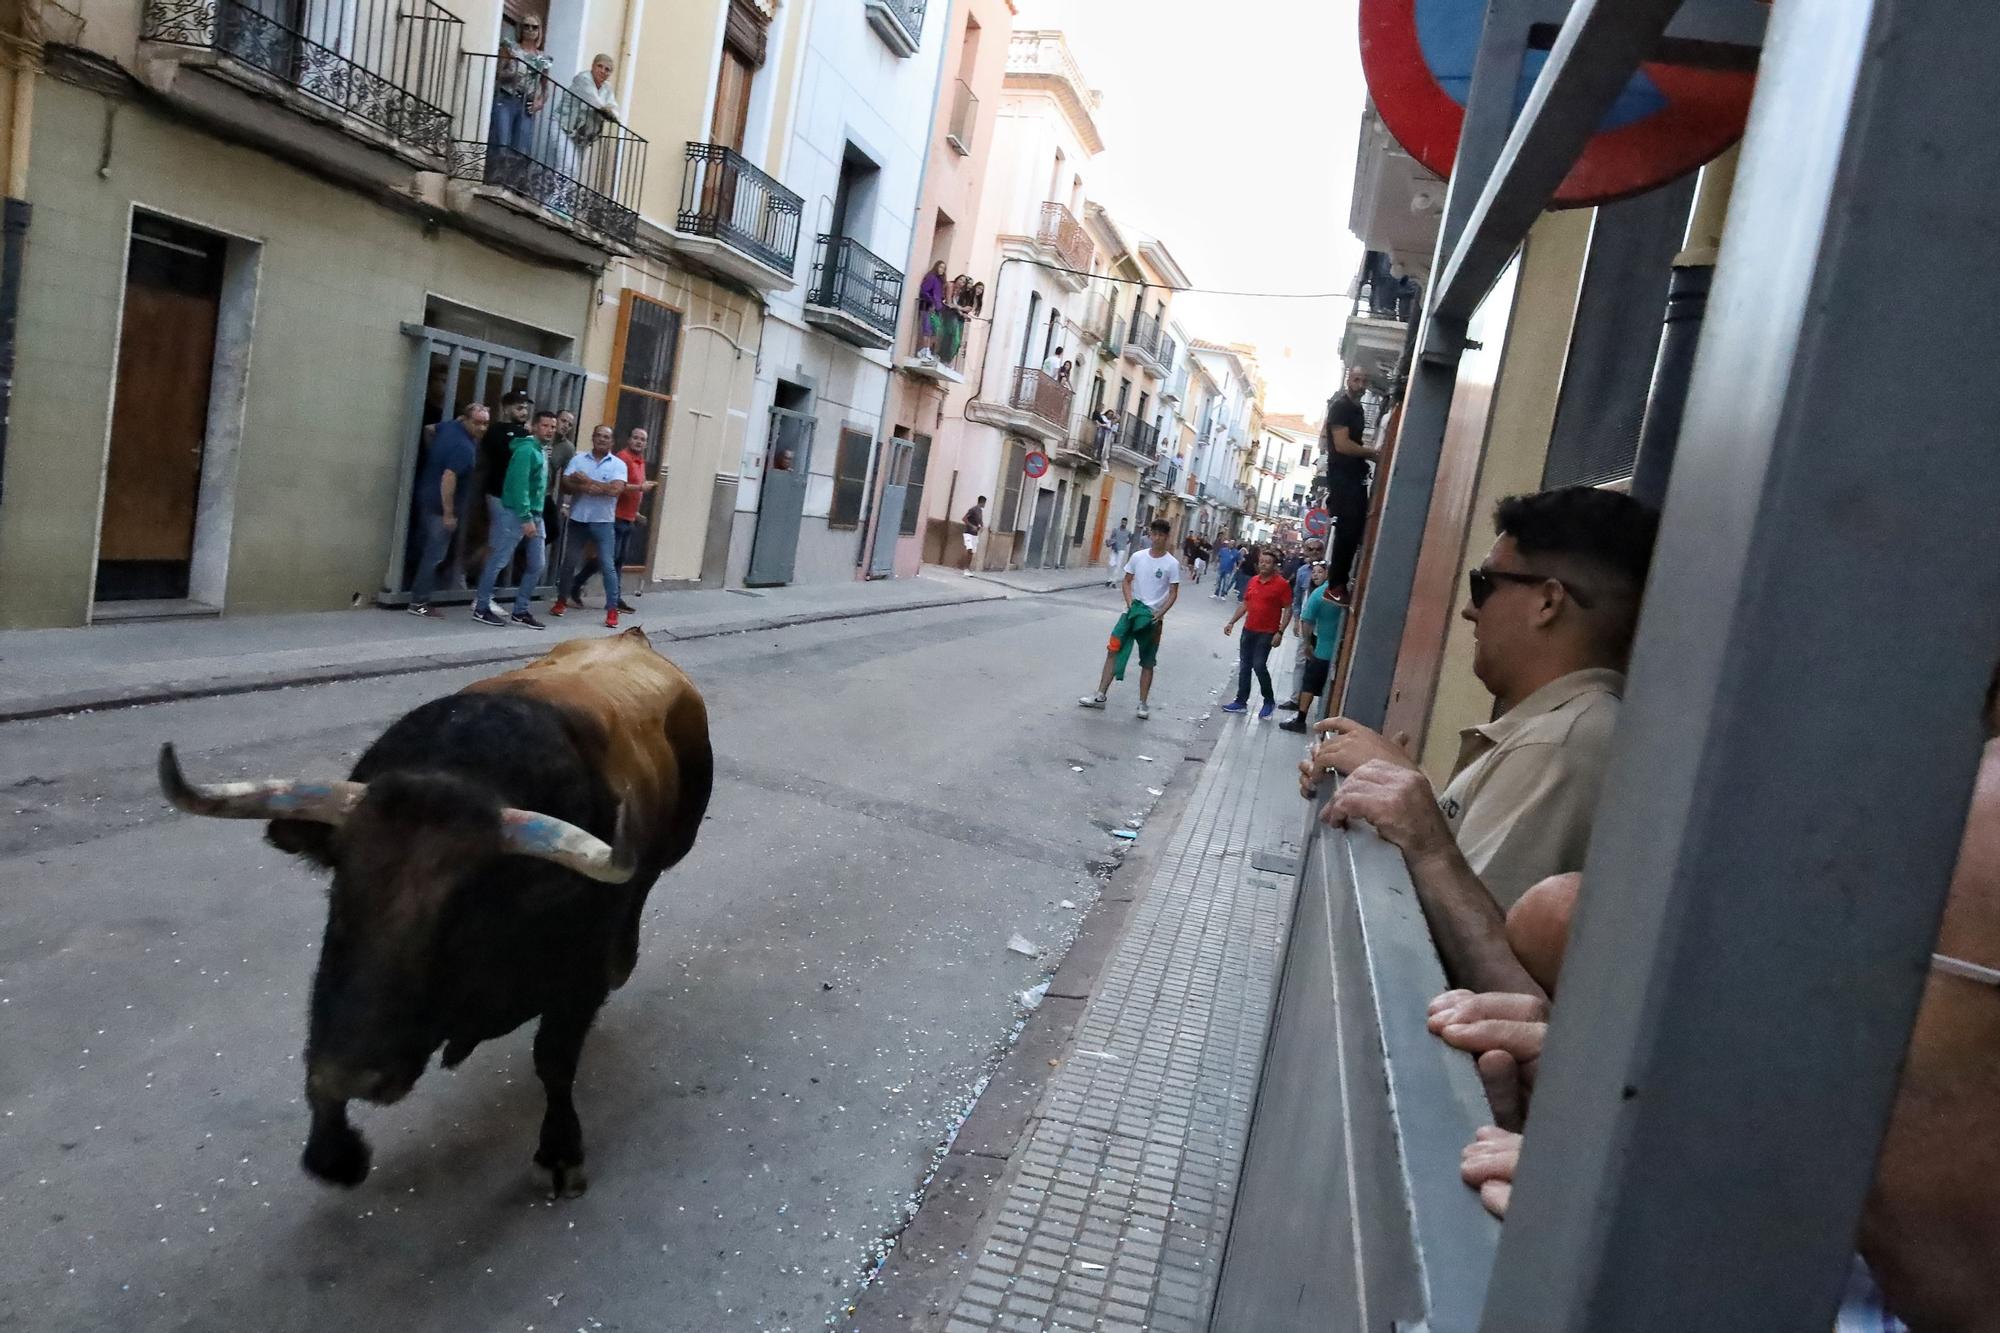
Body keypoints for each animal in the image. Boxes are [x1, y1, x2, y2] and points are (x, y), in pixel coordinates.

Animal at [160, 628, 716, 1200]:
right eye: (341, 885)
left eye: (467, 910)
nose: (355, 1075)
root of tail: (630, 638)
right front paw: (335, 1151)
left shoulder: (578, 978)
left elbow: (554, 1061)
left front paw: (560, 1153)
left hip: (674, 845)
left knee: (644, 887)